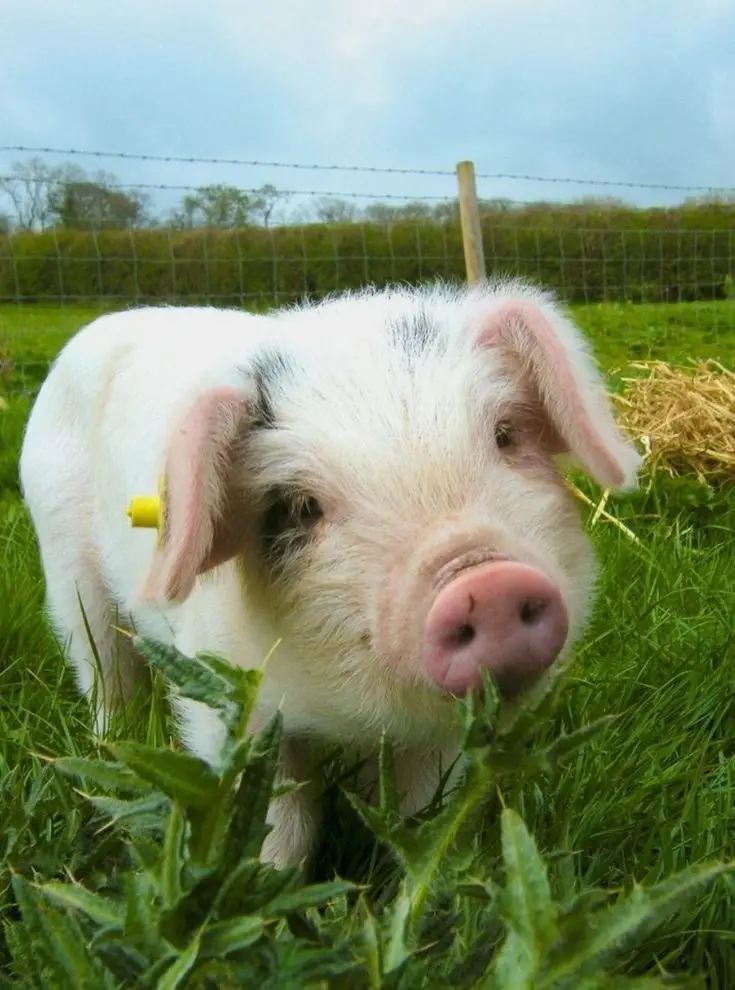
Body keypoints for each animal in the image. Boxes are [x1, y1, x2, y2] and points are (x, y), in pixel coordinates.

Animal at [19, 278, 641, 869]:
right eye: (300, 507)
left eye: (505, 435)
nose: (484, 582)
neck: (353, 714)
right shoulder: (227, 694)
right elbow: (279, 822)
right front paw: (268, 886)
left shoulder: (440, 736)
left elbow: (423, 812)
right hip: (65, 561)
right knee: (102, 664)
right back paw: (112, 742)